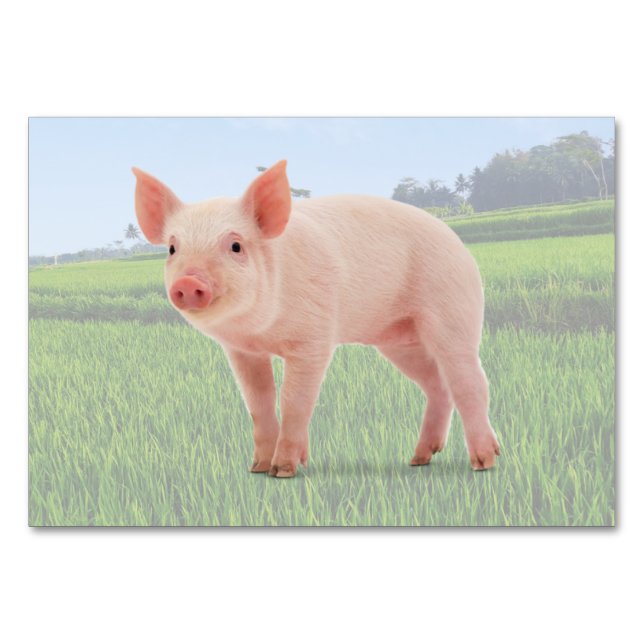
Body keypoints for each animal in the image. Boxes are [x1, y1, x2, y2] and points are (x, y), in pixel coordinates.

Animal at [133, 161, 500, 477]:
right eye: (172, 249)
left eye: (235, 245)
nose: (187, 282)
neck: (262, 330)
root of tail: (459, 243)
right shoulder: (243, 351)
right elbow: (258, 402)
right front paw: (258, 468)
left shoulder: (314, 338)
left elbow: (294, 401)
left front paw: (283, 471)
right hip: (398, 339)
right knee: (437, 384)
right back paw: (419, 458)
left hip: (453, 309)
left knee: (471, 380)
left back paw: (484, 462)